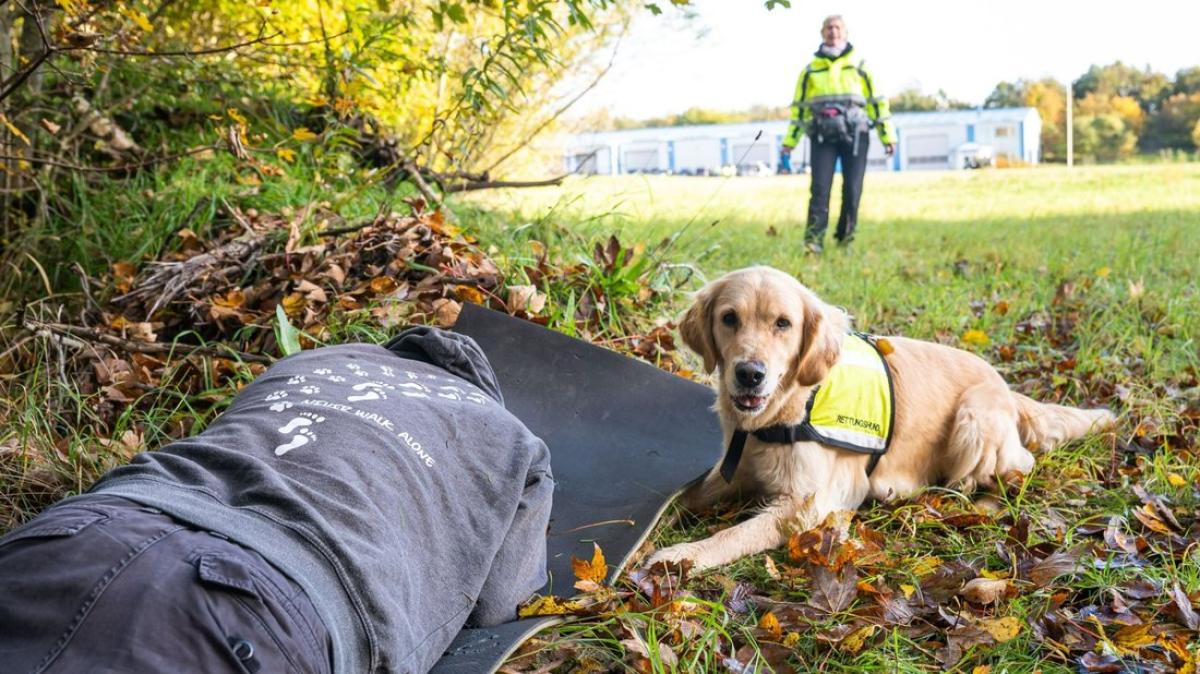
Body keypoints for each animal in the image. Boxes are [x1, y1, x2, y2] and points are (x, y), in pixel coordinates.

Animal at [648, 265, 1113, 568]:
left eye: (783, 323)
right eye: (730, 318)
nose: (749, 374)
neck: (781, 416)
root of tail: (1005, 384)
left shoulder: (808, 506)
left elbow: (733, 533)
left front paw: (680, 556)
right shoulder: (737, 469)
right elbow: (680, 496)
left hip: (973, 417)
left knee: (1018, 465)